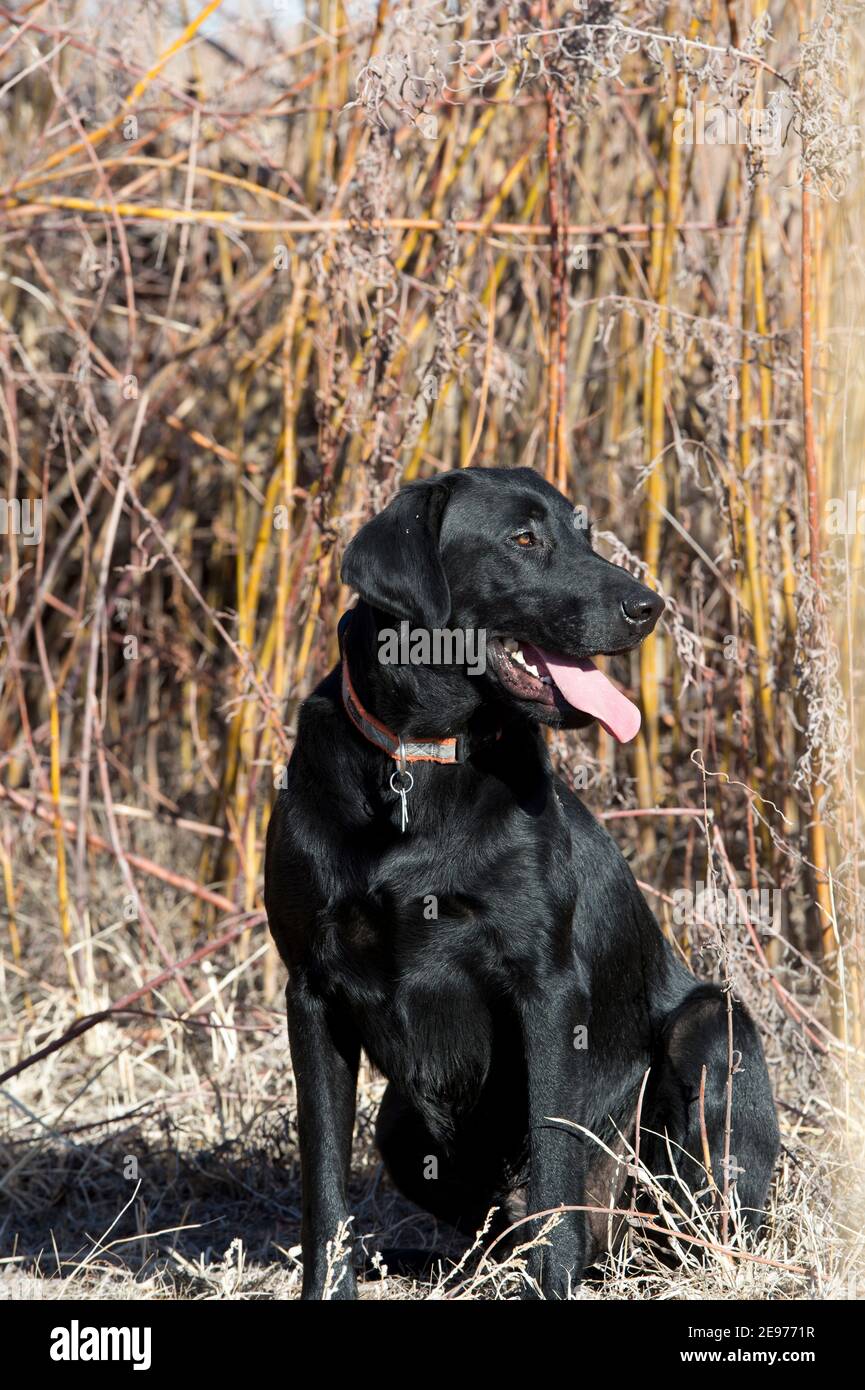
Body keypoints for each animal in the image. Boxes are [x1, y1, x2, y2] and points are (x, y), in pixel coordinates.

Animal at [268, 469, 784, 1301]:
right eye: (522, 538)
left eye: (584, 531)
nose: (648, 607)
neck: (421, 761)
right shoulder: (311, 989)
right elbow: (323, 1184)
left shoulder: (546, 986)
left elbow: (551, 1161)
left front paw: (551, 1282)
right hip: (401, 1125)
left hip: (712, 1030)